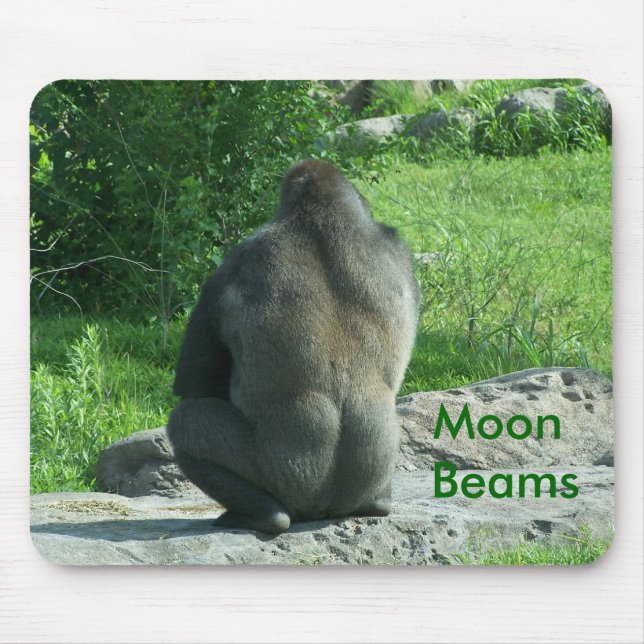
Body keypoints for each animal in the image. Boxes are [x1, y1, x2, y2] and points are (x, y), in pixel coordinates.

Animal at [167, 159, 420, 534]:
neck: (320, 219)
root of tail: (322, 509)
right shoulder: (399, 248)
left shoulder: (230, 266)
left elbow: (194, 384)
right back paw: (376, 503)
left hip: (287, 476)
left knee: (188, 422)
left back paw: (262, 515)